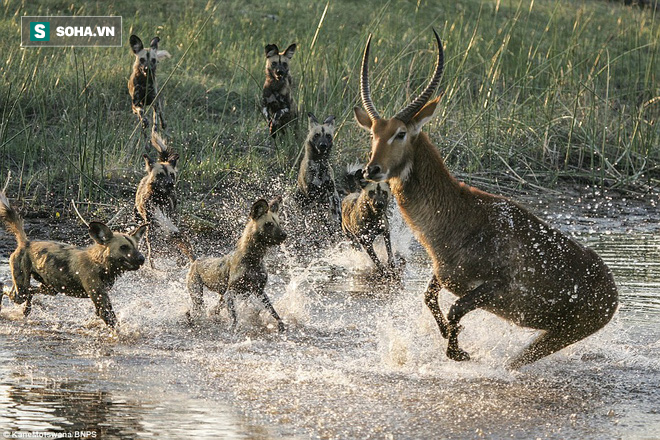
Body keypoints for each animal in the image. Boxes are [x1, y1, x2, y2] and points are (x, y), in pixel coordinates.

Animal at [0, 191, 146, 328]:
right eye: (123, 247)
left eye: (136, 247)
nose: (142, 259)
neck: (100, 264)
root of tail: (26, 243)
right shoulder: (101, 303)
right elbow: (114, 325)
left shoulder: (101, 300)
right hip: (22, 292)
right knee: (6, 287)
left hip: (50, 289)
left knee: (30, 291)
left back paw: (26, 310)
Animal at [134, 131, 195, 268]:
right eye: (160, 175)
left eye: (171, 174)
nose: (170, 184)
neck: (159, 197)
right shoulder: (151, 226)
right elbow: (152, 249)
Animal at [187, 198, 288, 332]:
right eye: (268, 224)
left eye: (279, 223)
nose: (285, 234)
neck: (253, 259)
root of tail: (195, 261)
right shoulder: (231, 293)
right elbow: (234, 318)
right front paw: (233, 330)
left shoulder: (259, 291)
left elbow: (273, 311)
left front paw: (281, 325)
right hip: (198, 296)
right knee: (195, 311)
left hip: (220, 298)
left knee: (214, 310)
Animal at [356, 29, 620, 370]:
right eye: (373, 133)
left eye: (400, 133)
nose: (371, 169)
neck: (459, 215)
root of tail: (613, 289)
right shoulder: (445, 276)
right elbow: (429, 298)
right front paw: (447, 335)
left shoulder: (497, 286)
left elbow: (456, 309)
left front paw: (458, 351)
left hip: (561, 333)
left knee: (516, 361)